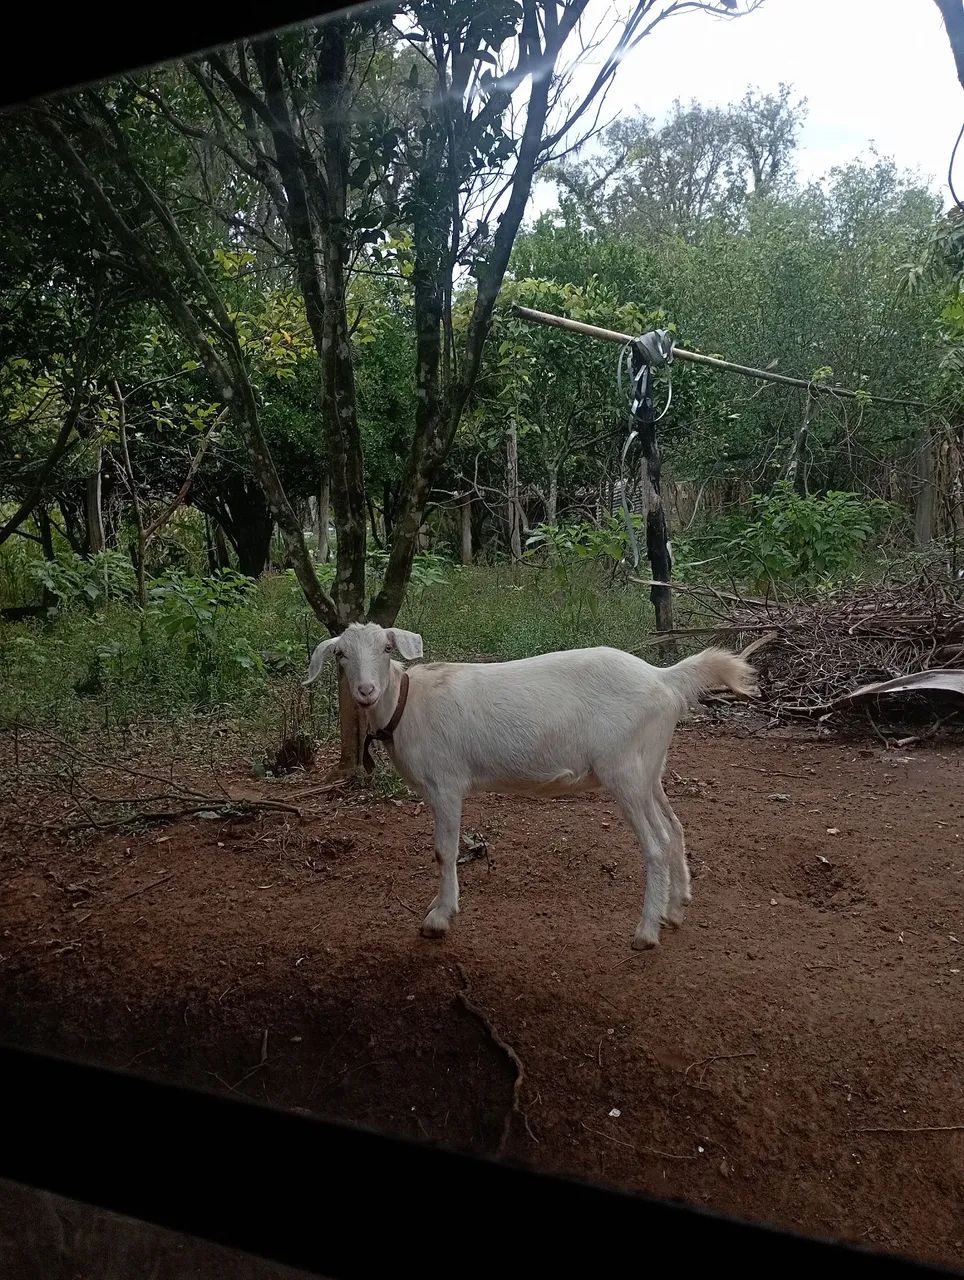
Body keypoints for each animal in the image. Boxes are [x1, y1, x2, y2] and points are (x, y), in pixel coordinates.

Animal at [305, 624, 757, 950]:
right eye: (341, 654)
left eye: (386, 649)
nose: (365, 691)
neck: (407, 704)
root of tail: (663, 677)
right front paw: (438, 906)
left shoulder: (446, 784)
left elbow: (443, 851)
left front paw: (440, 916)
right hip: (650, 767)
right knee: (675, 827)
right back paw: (675, 909)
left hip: (624, 770)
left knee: (657, 842)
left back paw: (647, 931)